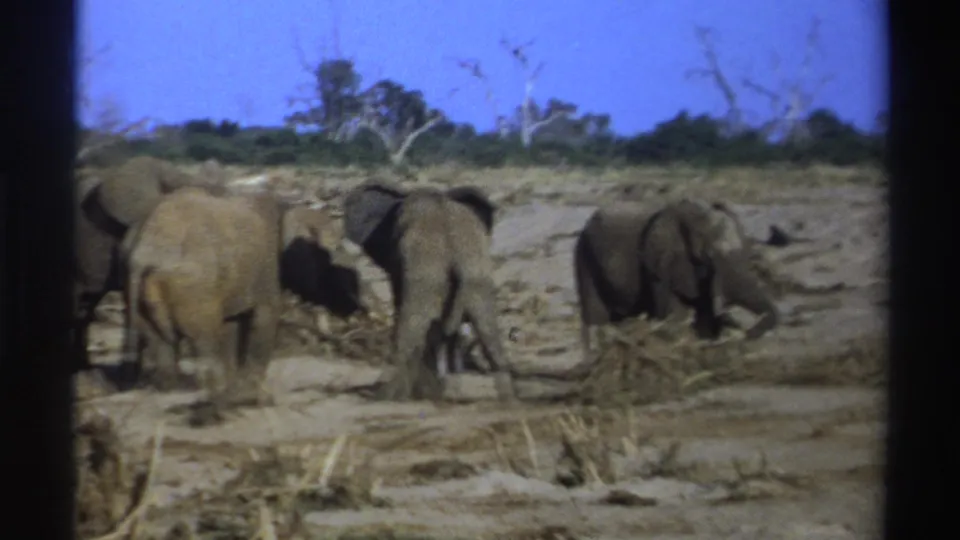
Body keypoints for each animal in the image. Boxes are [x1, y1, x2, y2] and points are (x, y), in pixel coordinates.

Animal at [342, 178, 516, 402]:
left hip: (428, 276)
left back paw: (387, 396)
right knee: (488, 330)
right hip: (476, 276)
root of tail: (456, 256)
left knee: (413, 326)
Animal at [574, 199, 778, 365]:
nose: (741, 332)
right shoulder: (660, 264)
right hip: (584, 257)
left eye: (748, 252)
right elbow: (674, 314)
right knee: (595, 316)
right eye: (710, 256)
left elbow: (703, 317)